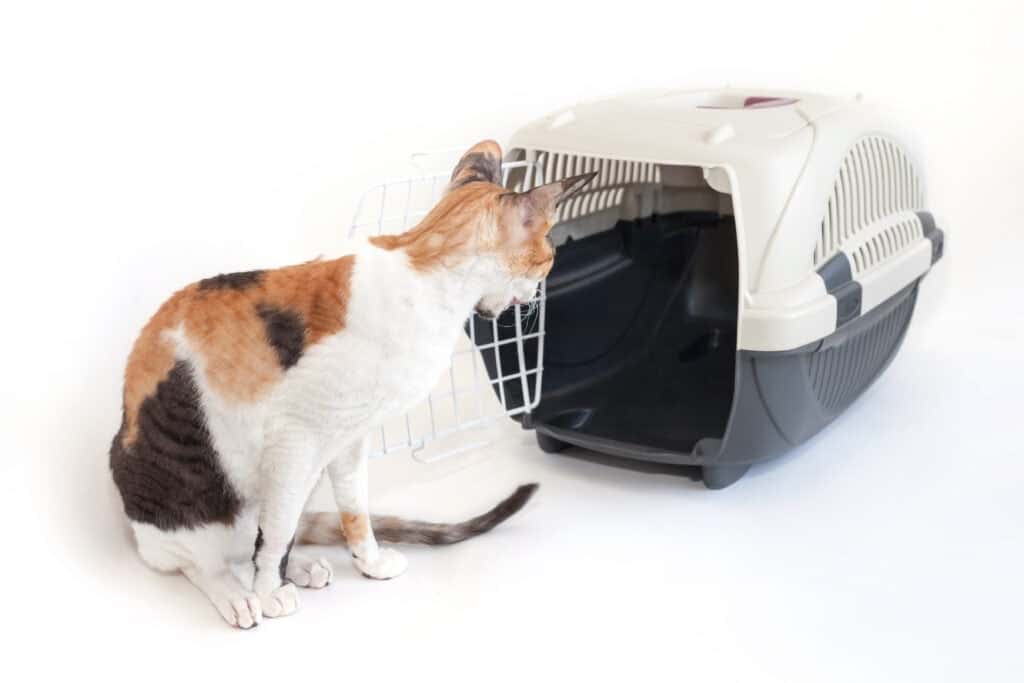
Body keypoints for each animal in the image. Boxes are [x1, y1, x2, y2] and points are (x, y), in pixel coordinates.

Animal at [108, 140, 598, 630]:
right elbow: (278, 530)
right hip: (183, 486)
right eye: (548, 258)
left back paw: (299, 568)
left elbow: (353, 506)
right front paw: (268, 593)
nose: (538, 294)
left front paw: (369, 563)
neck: (426, 277)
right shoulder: (296, 438)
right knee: (199, 559)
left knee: (265, 534)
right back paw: (239, 594)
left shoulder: (348, 436)